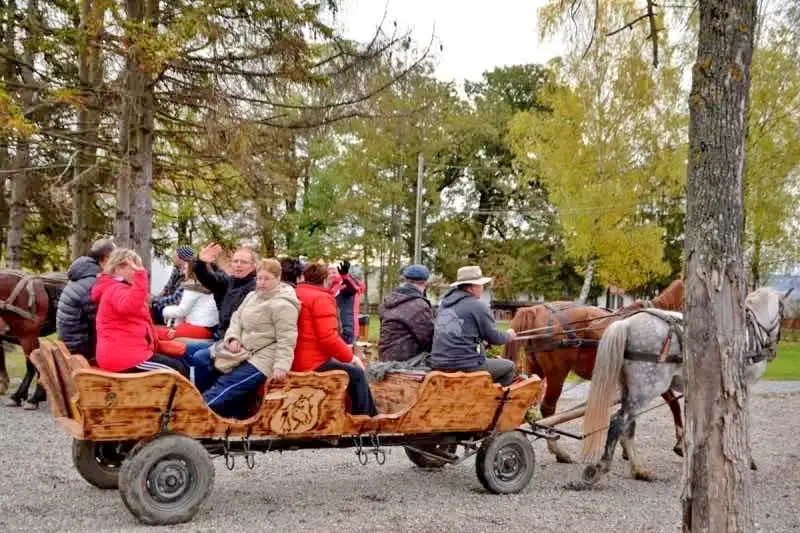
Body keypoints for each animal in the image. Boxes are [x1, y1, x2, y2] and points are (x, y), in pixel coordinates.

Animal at [504, 278, 684, 462]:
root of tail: (537, 309)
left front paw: (625, 448)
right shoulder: (654, 378)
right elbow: (674, 405)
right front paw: (679, 443)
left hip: (536, 370)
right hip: (556, 374)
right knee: (547, 409)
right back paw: (558, 451)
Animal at [580, 284, 792, 484]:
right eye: (782, 312)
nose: (772, 349)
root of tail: (627, 323)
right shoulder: (743, 387)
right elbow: (743, 422)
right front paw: (747, 458)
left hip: (631, 390)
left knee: (628, 425)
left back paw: (639, 469)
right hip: (646, 389)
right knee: (619, 421)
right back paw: (601, 468)